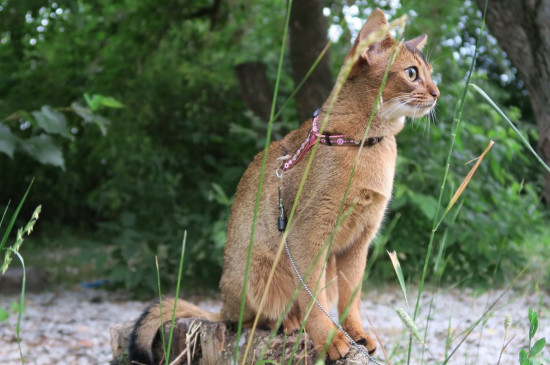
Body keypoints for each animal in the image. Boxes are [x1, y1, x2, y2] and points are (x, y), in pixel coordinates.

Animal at [128, 8, 440, 362]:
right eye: (412, 73)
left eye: (431, 74)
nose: (436, 93)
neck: (361, 143)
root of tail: (223, 306)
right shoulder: (307, 234)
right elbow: (313, 299)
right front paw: (330, 341)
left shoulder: (358, 241)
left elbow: (351, 297)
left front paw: (356, 334)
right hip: (261, 272)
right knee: (250, 319)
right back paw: (287, 324)